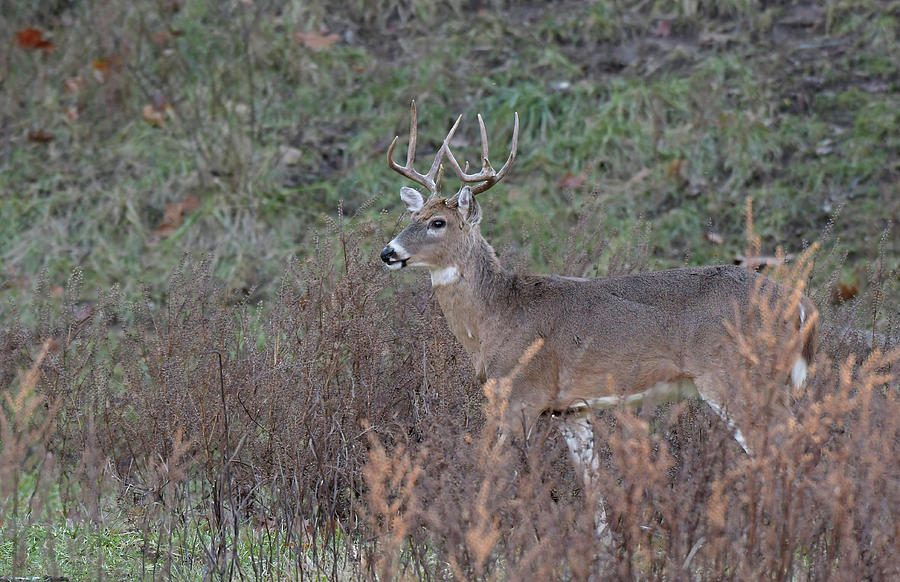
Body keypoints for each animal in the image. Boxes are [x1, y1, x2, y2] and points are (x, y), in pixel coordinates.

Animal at [378, 102, 816, 540]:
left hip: (735, 376)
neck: (497, 316)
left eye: (438, 223)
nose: (388, 251)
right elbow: (594, 490)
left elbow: (499, 477)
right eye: (411, 215)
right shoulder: (571, 409)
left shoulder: (522, 393)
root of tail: (801, 306)